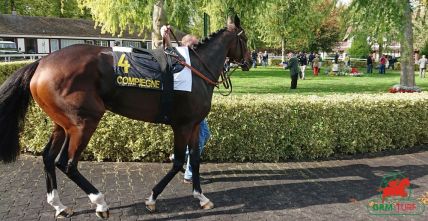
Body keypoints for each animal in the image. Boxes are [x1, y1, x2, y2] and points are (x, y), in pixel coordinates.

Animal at [0, 14, 251, 218]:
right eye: (246, 39)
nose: (250, 61)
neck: (196, 69)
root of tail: (41, 62)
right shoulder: (182, 125)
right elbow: (179, 160)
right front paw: (152, 198)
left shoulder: (195, 124)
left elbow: (196, 160)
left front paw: (201, 197)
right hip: (84, 123)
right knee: (67, 163)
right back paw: (100, 203)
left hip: (62, 124)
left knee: (48, 158)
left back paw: (59, 206)